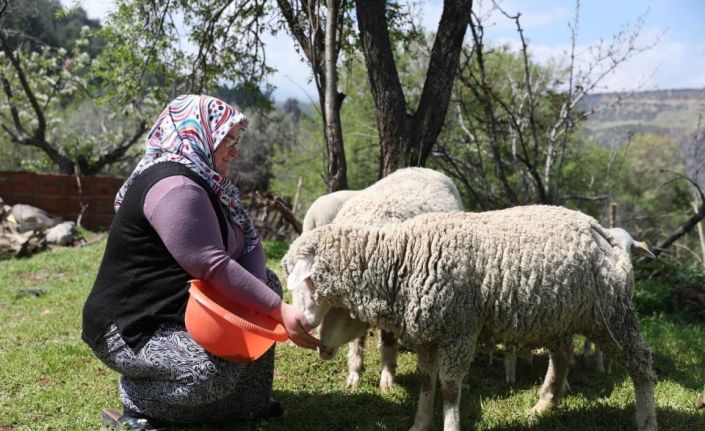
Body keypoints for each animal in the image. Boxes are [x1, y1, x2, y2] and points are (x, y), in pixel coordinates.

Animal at [284, 207, 656, 431]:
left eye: (302, 280)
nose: (298, 322)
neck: (401, 258)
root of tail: (598, 229)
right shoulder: (428, 335)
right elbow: (426, 381)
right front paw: (419, 424)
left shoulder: (460, 331)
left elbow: (449, 387)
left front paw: (449, 425)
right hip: (558, 316)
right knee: (563, 357)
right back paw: (543, 406)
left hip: (611, 315)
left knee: (641, 363)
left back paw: (646, 420)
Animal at [294, 167, 464, 394]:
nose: (323, 350)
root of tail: (422, 168)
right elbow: (357, 343)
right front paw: (354, 375)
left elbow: (388, 342)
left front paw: (387, 378)